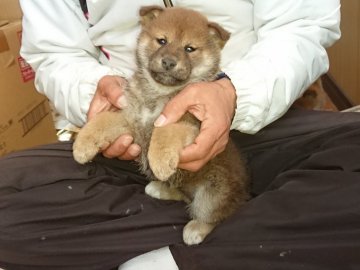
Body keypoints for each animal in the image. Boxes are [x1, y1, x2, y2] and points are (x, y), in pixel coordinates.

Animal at [72, 5, 250, 247]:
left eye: (189, 48)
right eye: (162, 41)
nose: (168, 62)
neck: (157, 94)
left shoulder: (187, 122)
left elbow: (164, 132)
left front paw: (160, 161)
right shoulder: (130, 118)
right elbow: (102, 121)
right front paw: (82, 145)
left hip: (213, 193)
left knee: (215, 214)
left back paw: (196, 228)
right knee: (183, 195)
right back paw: (159, 188)